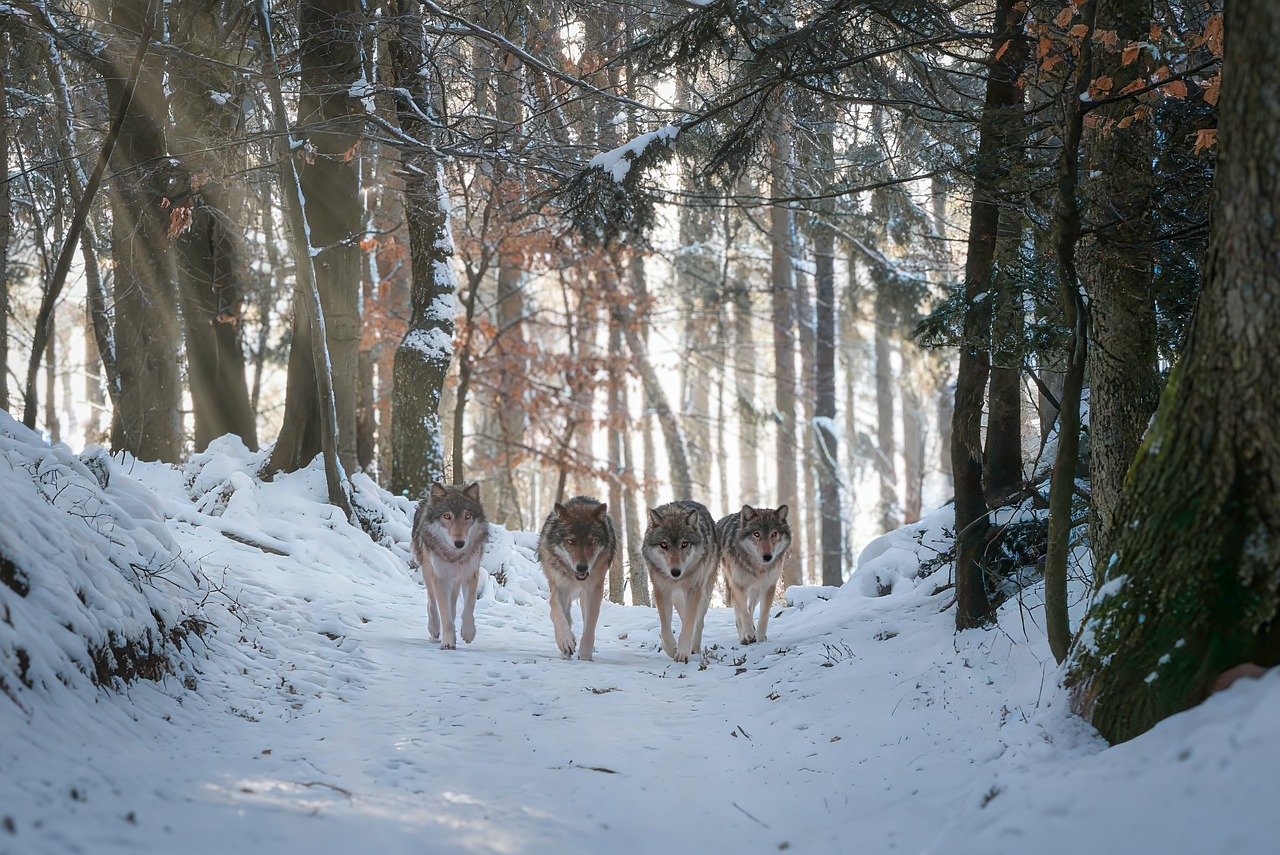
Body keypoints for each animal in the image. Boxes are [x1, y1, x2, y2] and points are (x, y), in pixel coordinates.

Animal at [411, 482, 489, 650]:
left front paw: (468, 632)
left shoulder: (470, 574)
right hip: (428, 572)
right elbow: (444, 613)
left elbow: (469, 606)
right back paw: (434, 629)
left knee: (452, 605)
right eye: (447, 516)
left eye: (467, 516)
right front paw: (447, 641)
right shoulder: (439, 577)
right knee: (432, 602)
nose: (459, 543)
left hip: (455, 581)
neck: (454, 556)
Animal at [537, 496, 618, 661]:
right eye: (570, 541)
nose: (582, 568)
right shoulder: (559, 588)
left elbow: (590, 623)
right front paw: (566, 641)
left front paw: (586, 655)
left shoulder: (593, 590)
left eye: (592, 541)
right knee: (563, 615)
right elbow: (557, 614)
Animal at [642, 500, 719, 663]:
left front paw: (683, 653)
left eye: (684, 544)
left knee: (698, 621)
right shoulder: (661, 590)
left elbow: (690, 623)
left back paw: (694, 647)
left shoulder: (694, 590)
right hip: (677, 595)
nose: (676, 572)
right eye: (664, 544)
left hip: (704, 591)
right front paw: (672, 650)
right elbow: (665, 627)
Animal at [716, 504, 792, 645]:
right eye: (757, 534)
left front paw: (760, 638)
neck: (757, 568)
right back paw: (744, 637)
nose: (767, 557)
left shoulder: (768, 586)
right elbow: (743, 613)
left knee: (750, 607)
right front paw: (749, 634)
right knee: (739, 611)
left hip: (755, 591)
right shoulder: (738, 585)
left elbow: (763, 615)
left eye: (774, 534)